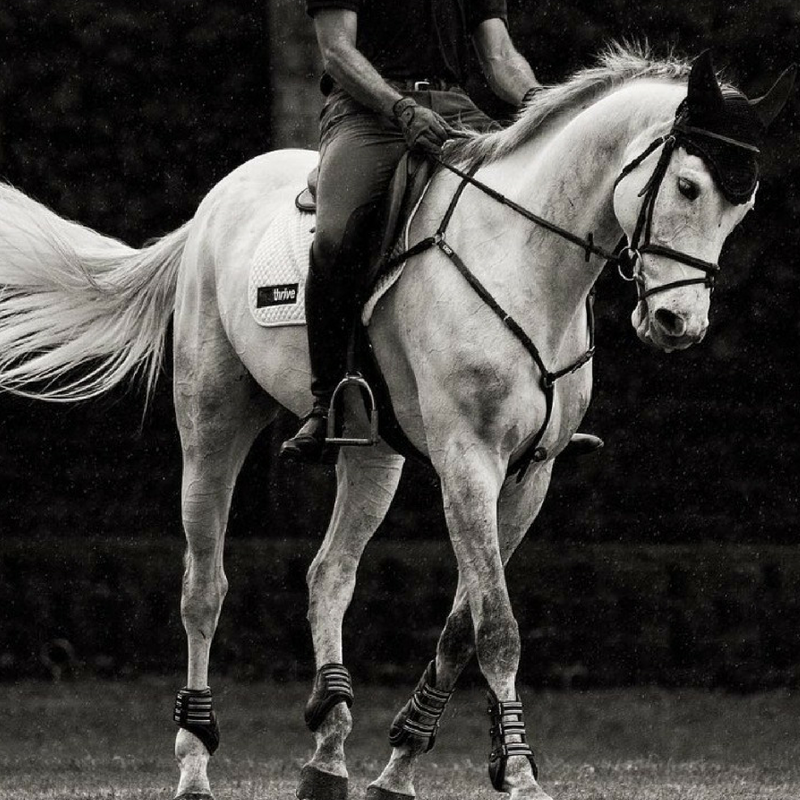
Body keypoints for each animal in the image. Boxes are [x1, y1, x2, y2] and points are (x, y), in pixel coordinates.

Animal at [0, 46, 792, 800]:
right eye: (687, 187)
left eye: (742, 208)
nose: (679, 324)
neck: (524, 262)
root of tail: (215, 203)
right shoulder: (469, 462)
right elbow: (497, 626)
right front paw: (520, 771)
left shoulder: (529, 476)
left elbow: (463, 627)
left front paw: (402, 765)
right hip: (212, 421)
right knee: (205, 586)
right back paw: (195, 761)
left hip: (374, 453)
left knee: (328, 574)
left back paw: (328, 750)